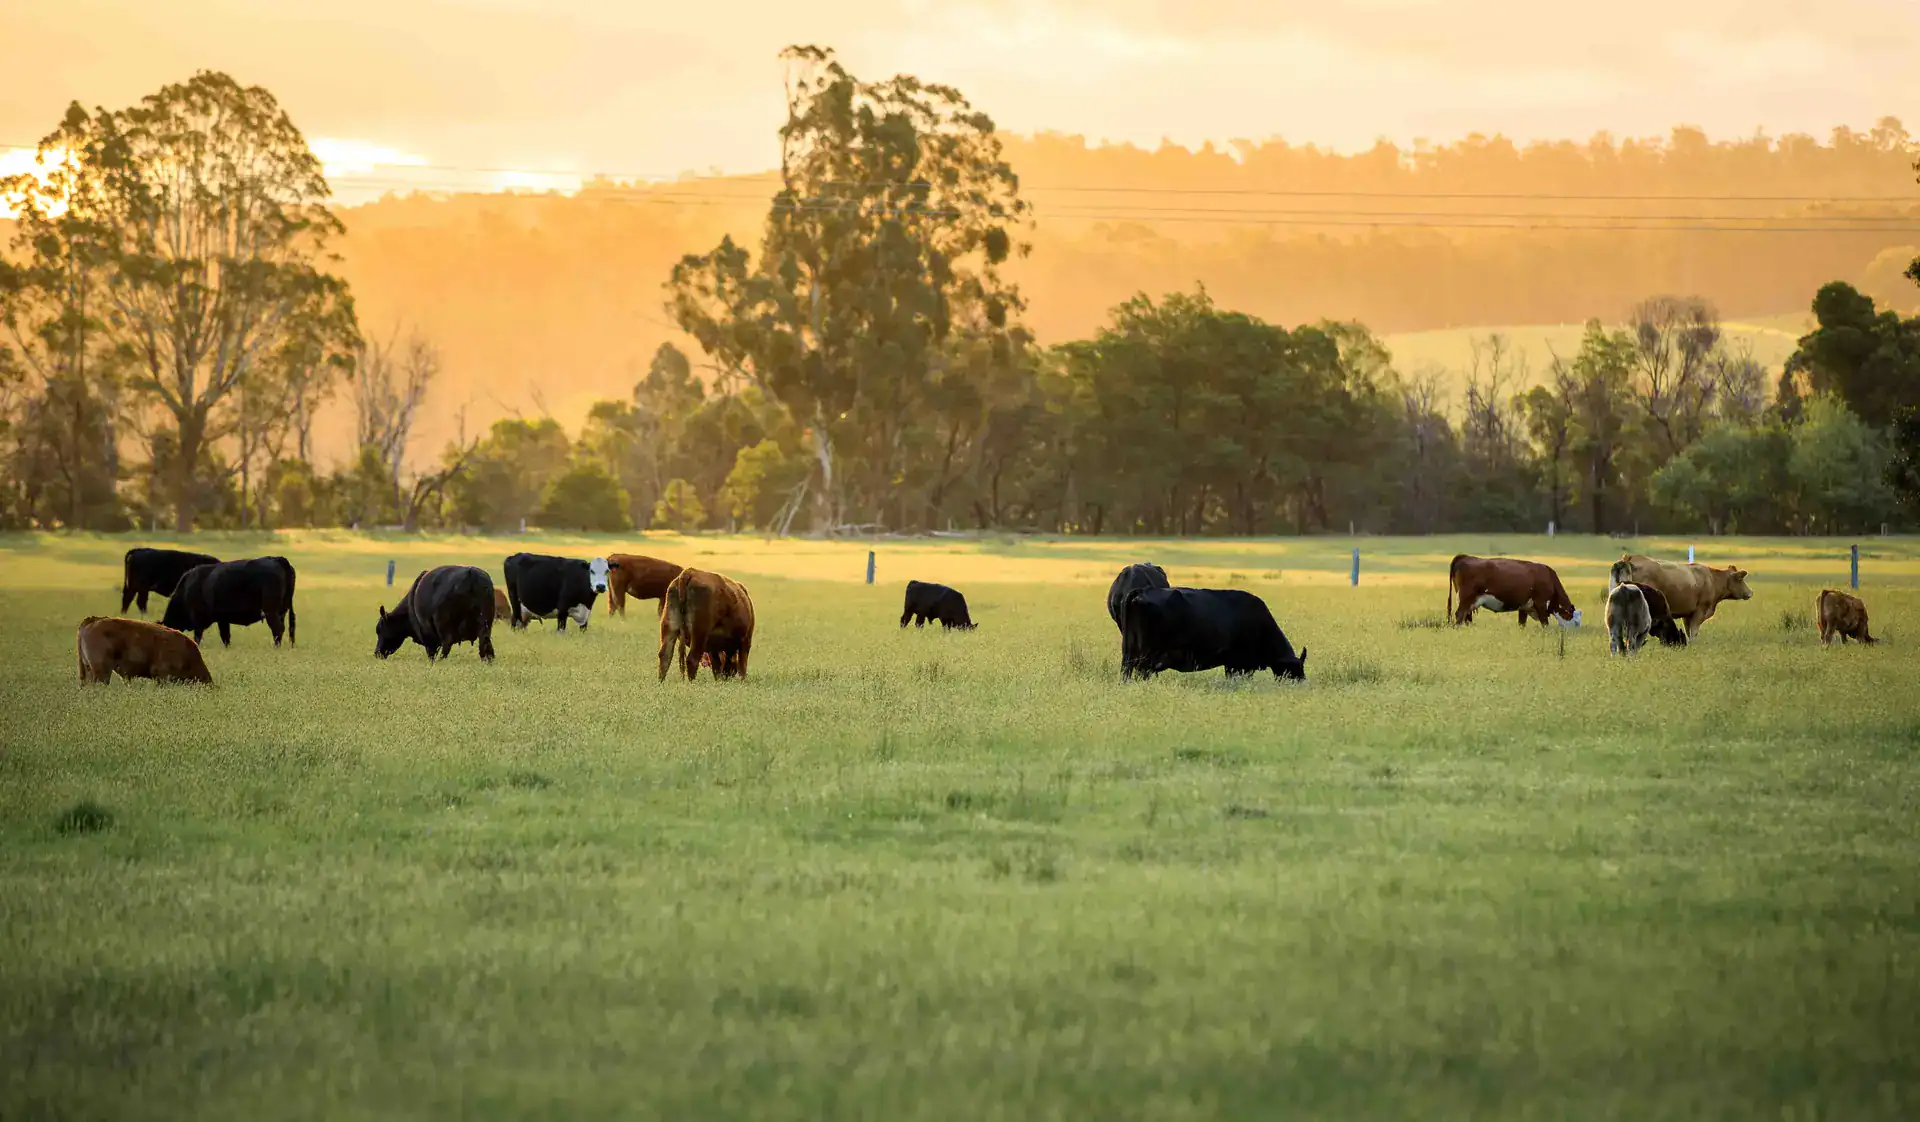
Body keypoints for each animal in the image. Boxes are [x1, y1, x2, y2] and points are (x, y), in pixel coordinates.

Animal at [160, 557, 297, 647]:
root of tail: (278, 559)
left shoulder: (199, 619)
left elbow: (198, 636)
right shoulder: (222, 619)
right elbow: (225, 636)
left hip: (270, 610)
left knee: (277, 628)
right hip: (282, 610)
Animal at [1120, 587, 1306, 681]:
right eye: (1295, 668)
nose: (1302, 681)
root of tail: (1140, 592)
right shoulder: (1240, 664)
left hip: (1129, 653)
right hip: (1145, 656)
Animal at [1446, 555, 1577, 627]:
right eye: (1573, 619)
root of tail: (1465, 556)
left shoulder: (1524, 606)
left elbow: (1522, 623)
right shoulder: (1541, 603)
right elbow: (1545, 622)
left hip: (1468, 601)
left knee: (1466, 617)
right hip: (1466, 598)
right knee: (1460, 615)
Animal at [1612, 554, 1752, 639]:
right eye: (1740, 579)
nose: (1750, 592)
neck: (1712, 579)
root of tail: (1629, 558)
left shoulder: (1687, 613)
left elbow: (1688, 631)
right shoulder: (1700, 610)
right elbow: (1694, 632)